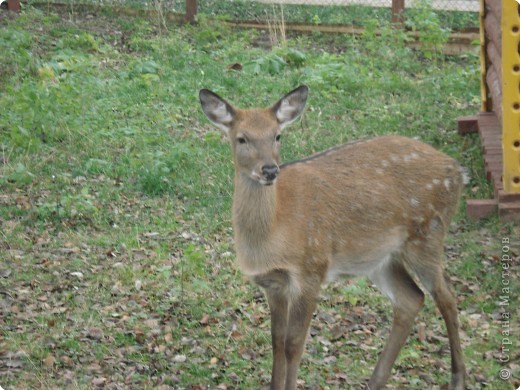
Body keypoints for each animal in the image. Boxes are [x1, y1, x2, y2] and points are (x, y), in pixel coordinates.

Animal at [199, 86, 468, 390]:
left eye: (277, 135)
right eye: (242, 138)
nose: (269, 170)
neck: (273, 233)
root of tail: (458, 170)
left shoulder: (311, 269)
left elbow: (294, 343)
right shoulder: (274, 283)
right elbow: (276, 341)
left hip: (428, 234)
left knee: (446, 297)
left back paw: (458, 377)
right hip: (381, 258)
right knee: (412, 298)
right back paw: (376, 381)